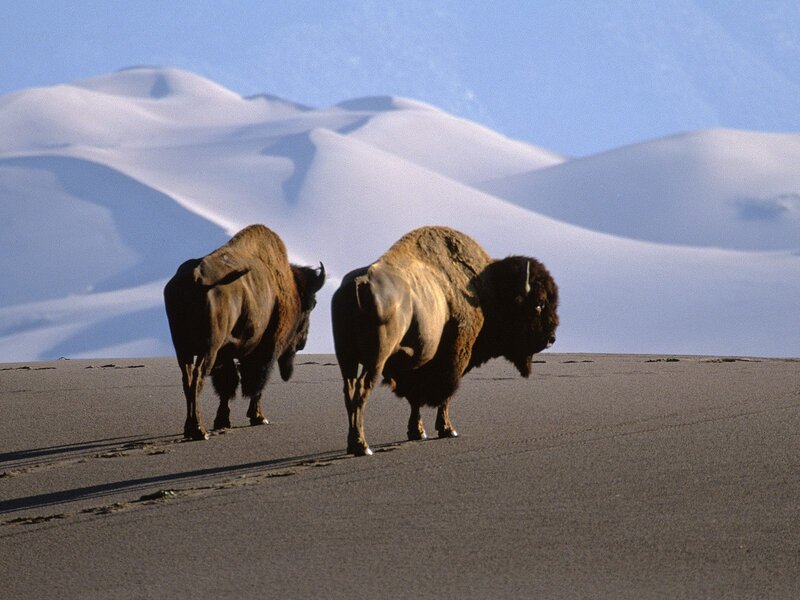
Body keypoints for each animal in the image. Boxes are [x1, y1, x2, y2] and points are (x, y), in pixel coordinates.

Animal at [164, 224, 325, 440]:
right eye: (311, 305)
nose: (302, 343)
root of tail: (196, 277)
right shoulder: (266, 349)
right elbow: (255, 382)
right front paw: (258, 417)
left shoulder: (225, 355)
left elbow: (228, 385)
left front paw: (223, 420)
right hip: (208, 349)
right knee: (198, 378)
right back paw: (199, 430)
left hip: (183, 349)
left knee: (188, 380)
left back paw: (190, 428)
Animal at [331, 226, 558, 455]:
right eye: (539, 304)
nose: (551, 338)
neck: (485, 288)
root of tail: (358, 284)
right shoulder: (455, 358)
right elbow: (445, 395)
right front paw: (448, 430)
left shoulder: (417, 364)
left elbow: (415, 399)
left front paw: (418, 432)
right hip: (375, 358)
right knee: (362, 389)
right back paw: (363, 446)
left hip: (346, 358)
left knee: (349, 390)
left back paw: (352, 443)